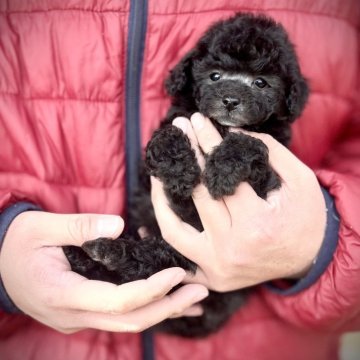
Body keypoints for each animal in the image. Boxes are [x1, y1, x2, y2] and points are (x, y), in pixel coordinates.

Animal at [63, 13, 308, 338]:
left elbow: (250, 143)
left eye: (261, 83)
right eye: (215, 75)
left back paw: (106, 252)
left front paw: (222, 170)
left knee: (155, 262)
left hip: (182, 257)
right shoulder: (173, 125)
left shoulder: (268, 176)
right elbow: (167, 134)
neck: (221, 125)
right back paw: (89, 256)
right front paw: (179, 170)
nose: (230, 100)